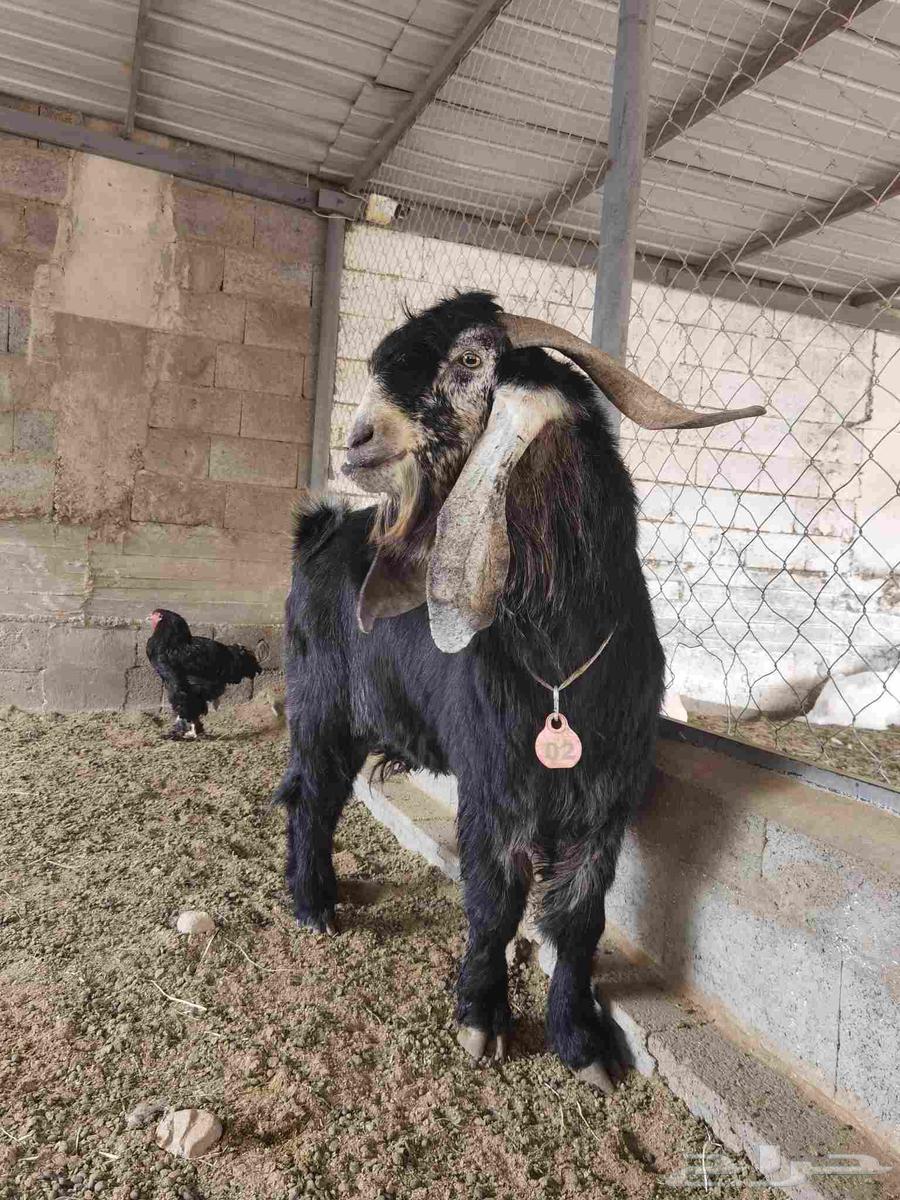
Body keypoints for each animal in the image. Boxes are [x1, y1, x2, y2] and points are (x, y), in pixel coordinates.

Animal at [273, 292, 762, 1091]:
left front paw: (582, 1042)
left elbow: (579, 919)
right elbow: (494, 901)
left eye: (471, 359)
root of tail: (319, 532)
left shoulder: (606, 798)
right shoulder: (494, 782)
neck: (560, 655)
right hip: (321, 707)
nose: (360, 439)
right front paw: (482, 1016)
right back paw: (314, 904)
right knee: (312, 796)